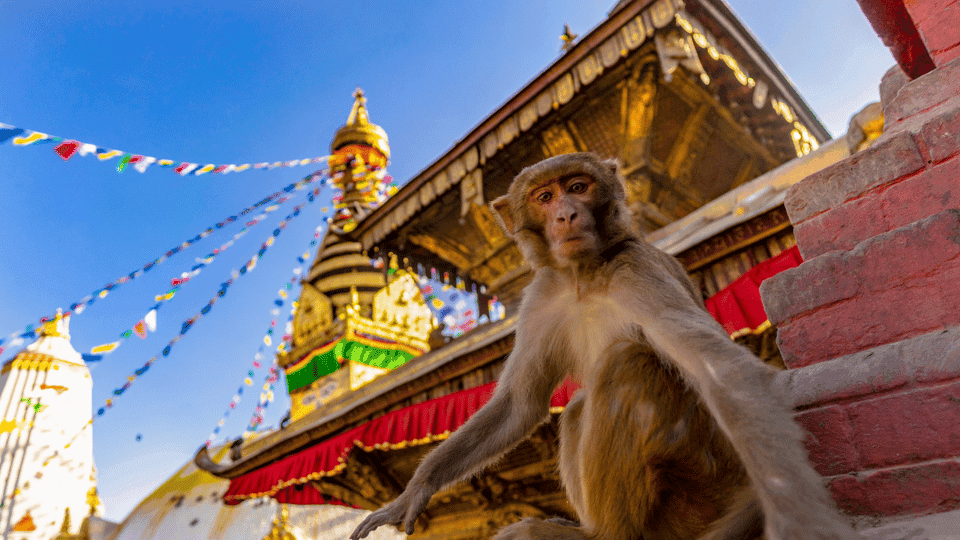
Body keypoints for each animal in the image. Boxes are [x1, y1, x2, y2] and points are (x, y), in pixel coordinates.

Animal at [351, 153, 856, 540]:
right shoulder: (542, 296)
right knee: (577, 406)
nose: (566, 215)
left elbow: (720, 373)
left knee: (626, 364)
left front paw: (798, 518)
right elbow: (520, 403)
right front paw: (414, 491)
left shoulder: (638, 272)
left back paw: (604, 535)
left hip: (700, 486)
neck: (584, 276)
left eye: (578, 187)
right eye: (544, 197)